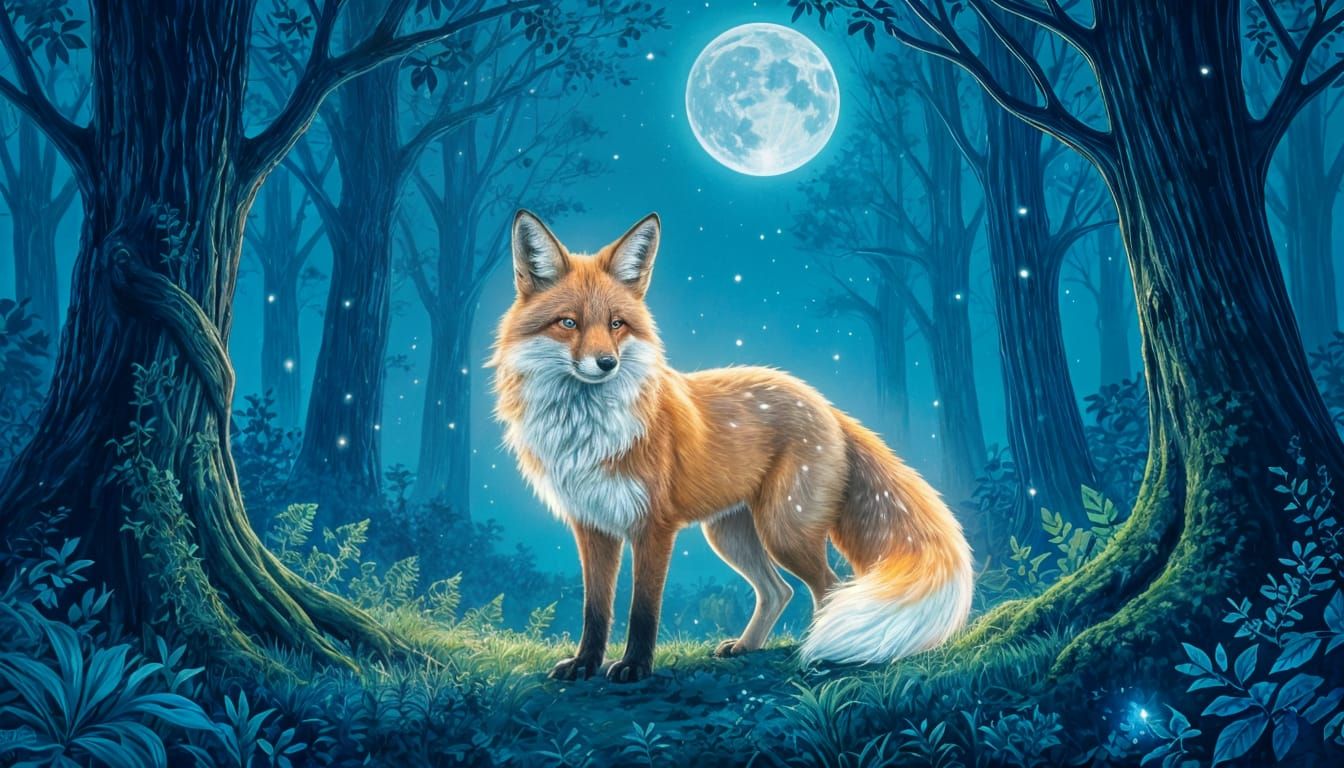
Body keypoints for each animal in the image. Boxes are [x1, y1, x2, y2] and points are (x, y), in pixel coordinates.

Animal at [491, 210, 973, 683]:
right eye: (568, 323)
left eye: (616, 324)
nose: (606, 363)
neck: (587, 434)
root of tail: (825, 404)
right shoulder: (593, 526)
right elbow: (596, 608)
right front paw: (586, 663)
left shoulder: (654, 526)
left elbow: (643, 607)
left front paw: (635, 666)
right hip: (730, 534)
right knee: (779, 591)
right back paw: (747, 646)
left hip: (783, 530)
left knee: (829, 587)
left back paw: (820, 654)